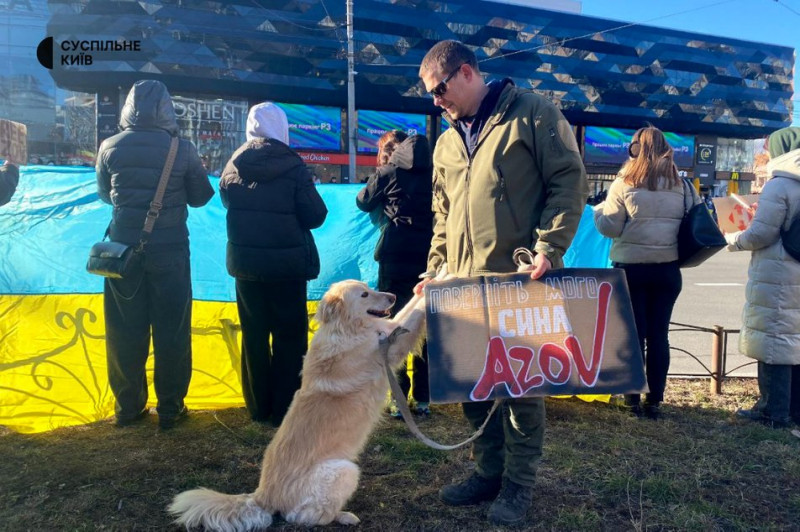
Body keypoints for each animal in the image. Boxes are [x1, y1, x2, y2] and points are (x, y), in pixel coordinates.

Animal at [168, 280, 428, 528]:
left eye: (368, 287)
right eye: (364, 294)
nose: (393, 296)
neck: (345, 330)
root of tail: (261, 496)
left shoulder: (391, 331)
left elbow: (409, 309)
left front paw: (425, 284)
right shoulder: (391, 348)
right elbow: (417, 312)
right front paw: (437, 281)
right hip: (343, 470)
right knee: (303, 516)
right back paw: (343, 516)